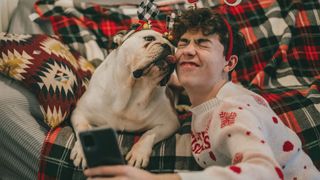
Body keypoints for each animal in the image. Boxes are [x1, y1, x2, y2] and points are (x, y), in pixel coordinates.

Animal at [70, 28, 180, 169]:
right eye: (149, 38)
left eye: (173, 48)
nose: (169, 47)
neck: (133, 89)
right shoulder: (80, 113)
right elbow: (84, 129)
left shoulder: (170, 123)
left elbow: (149, 134)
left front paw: (138, 153)